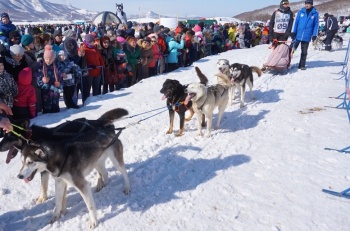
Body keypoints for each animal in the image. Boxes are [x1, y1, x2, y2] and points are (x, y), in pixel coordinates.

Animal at [0, 108, 128, 204]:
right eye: (4, 134)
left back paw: (100, 183)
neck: (31, 137)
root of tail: (98, 122)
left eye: (9, 135)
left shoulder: (47, 169)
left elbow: (44, 185)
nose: (0, 146)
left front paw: (43, 199)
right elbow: (44, 184)